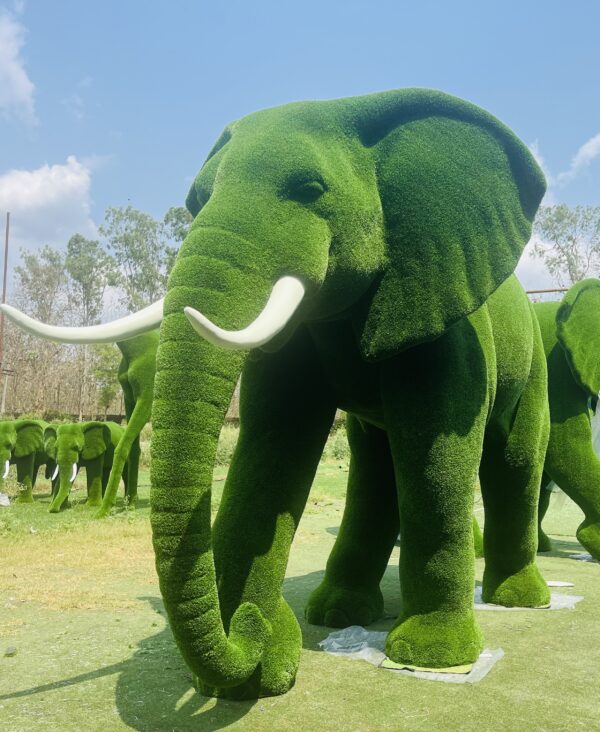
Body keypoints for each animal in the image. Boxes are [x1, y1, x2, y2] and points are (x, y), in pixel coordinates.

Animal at [1, 88, 550, 698]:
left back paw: (518, 599)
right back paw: (337, 612)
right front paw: (260, 664)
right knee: (375, 464)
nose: (247, 629)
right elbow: (273, 445)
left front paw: (431, 655)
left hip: (534, 361)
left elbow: (436, 459)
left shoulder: (446, 322)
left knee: (512, 459)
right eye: (198, 199)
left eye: (311, 190)